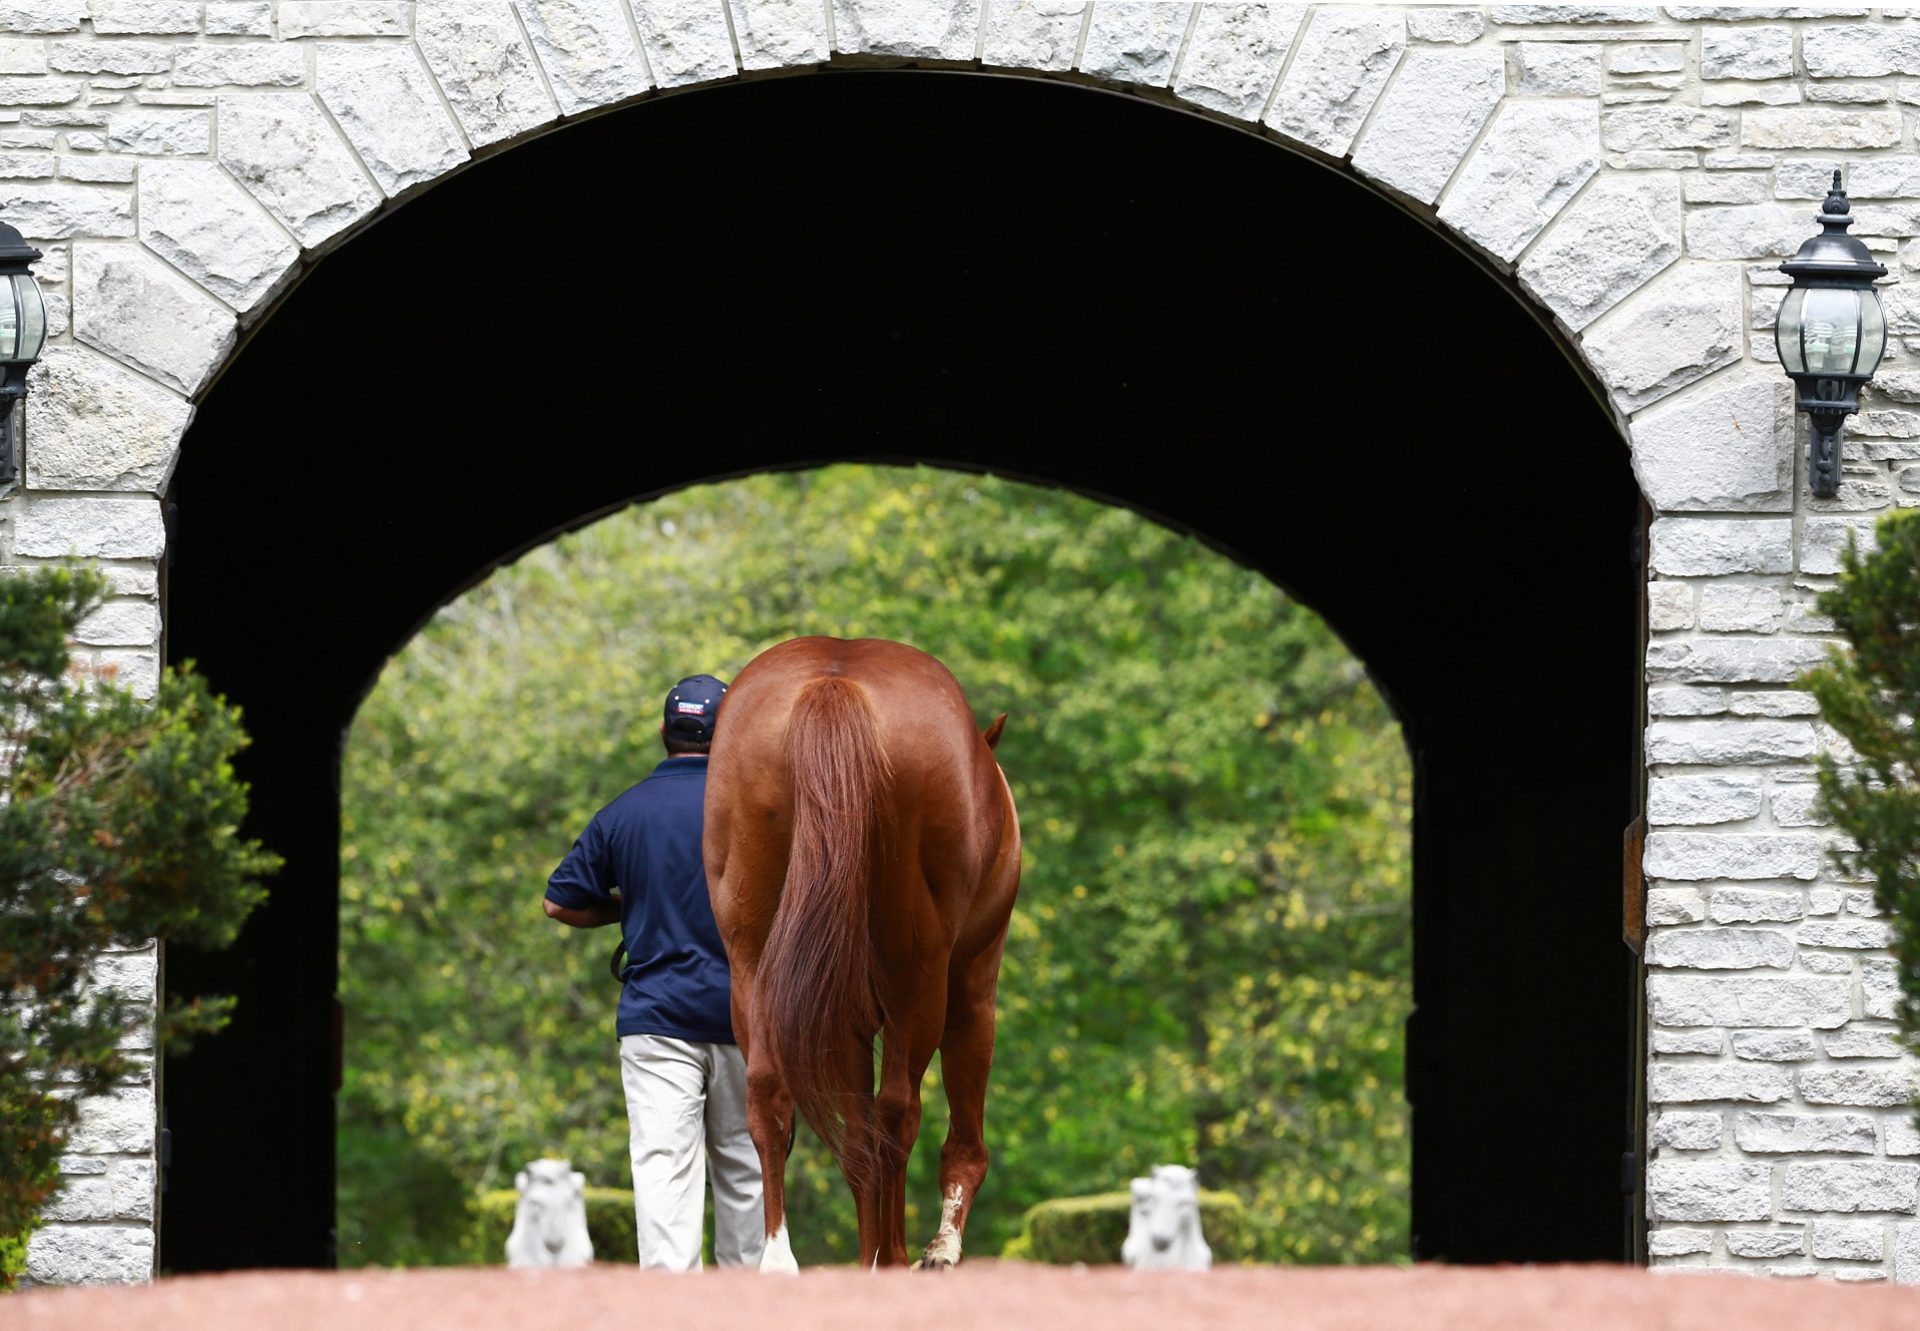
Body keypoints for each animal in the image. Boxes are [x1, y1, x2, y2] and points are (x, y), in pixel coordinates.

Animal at [706, 637, 1021, 1275]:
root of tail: (836, 682)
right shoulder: (970, 989)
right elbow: (954, 1134)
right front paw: (936, 1248)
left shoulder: (843, 1016)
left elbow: (855, 1135)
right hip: (919, 979)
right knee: (899, 1108)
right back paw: (895, 1256)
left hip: (754, 967)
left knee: (771, 1094)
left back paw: (780, 1256)